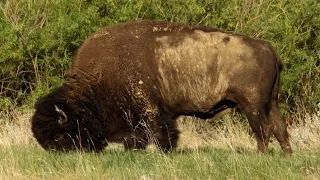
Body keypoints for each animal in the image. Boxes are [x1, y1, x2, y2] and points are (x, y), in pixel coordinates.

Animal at [31, 19, 292, 156]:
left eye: (58, 135)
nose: (56, 154)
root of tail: (267, 46)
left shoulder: (153, 110)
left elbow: (162, 132)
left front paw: (163, 151)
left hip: (252, 105)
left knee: (262, 130)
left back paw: (261, 155)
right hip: (272, 102)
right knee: (280, 128)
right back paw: (286, 156)